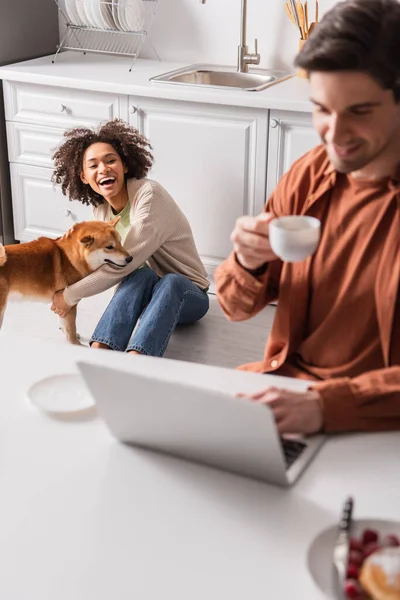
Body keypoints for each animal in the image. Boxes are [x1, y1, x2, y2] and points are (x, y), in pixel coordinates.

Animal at [0, 218, 133, 344]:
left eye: (120, 241)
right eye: (109, 247)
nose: (130, 258)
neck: (69, 257)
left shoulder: (61, 304)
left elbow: (63, 323)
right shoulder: (69, 305)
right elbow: (71, 330)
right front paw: (76, 344)